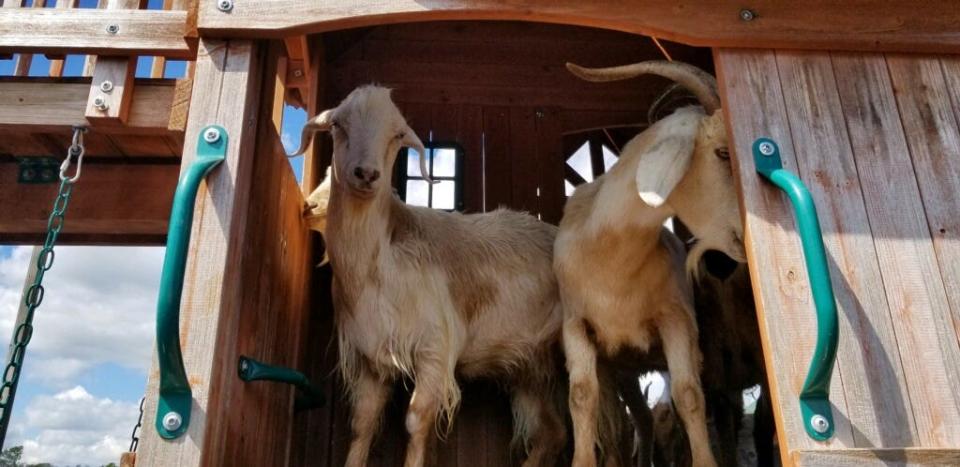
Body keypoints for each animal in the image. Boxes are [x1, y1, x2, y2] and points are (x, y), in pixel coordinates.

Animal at [552, 61, 748, 467]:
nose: (746, 232)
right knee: (641, 418)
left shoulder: (677, 320)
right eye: (723, 152)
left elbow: (689, 396)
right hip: (627, 369)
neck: (612, 263)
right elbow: (582, 396)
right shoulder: (576, 326)